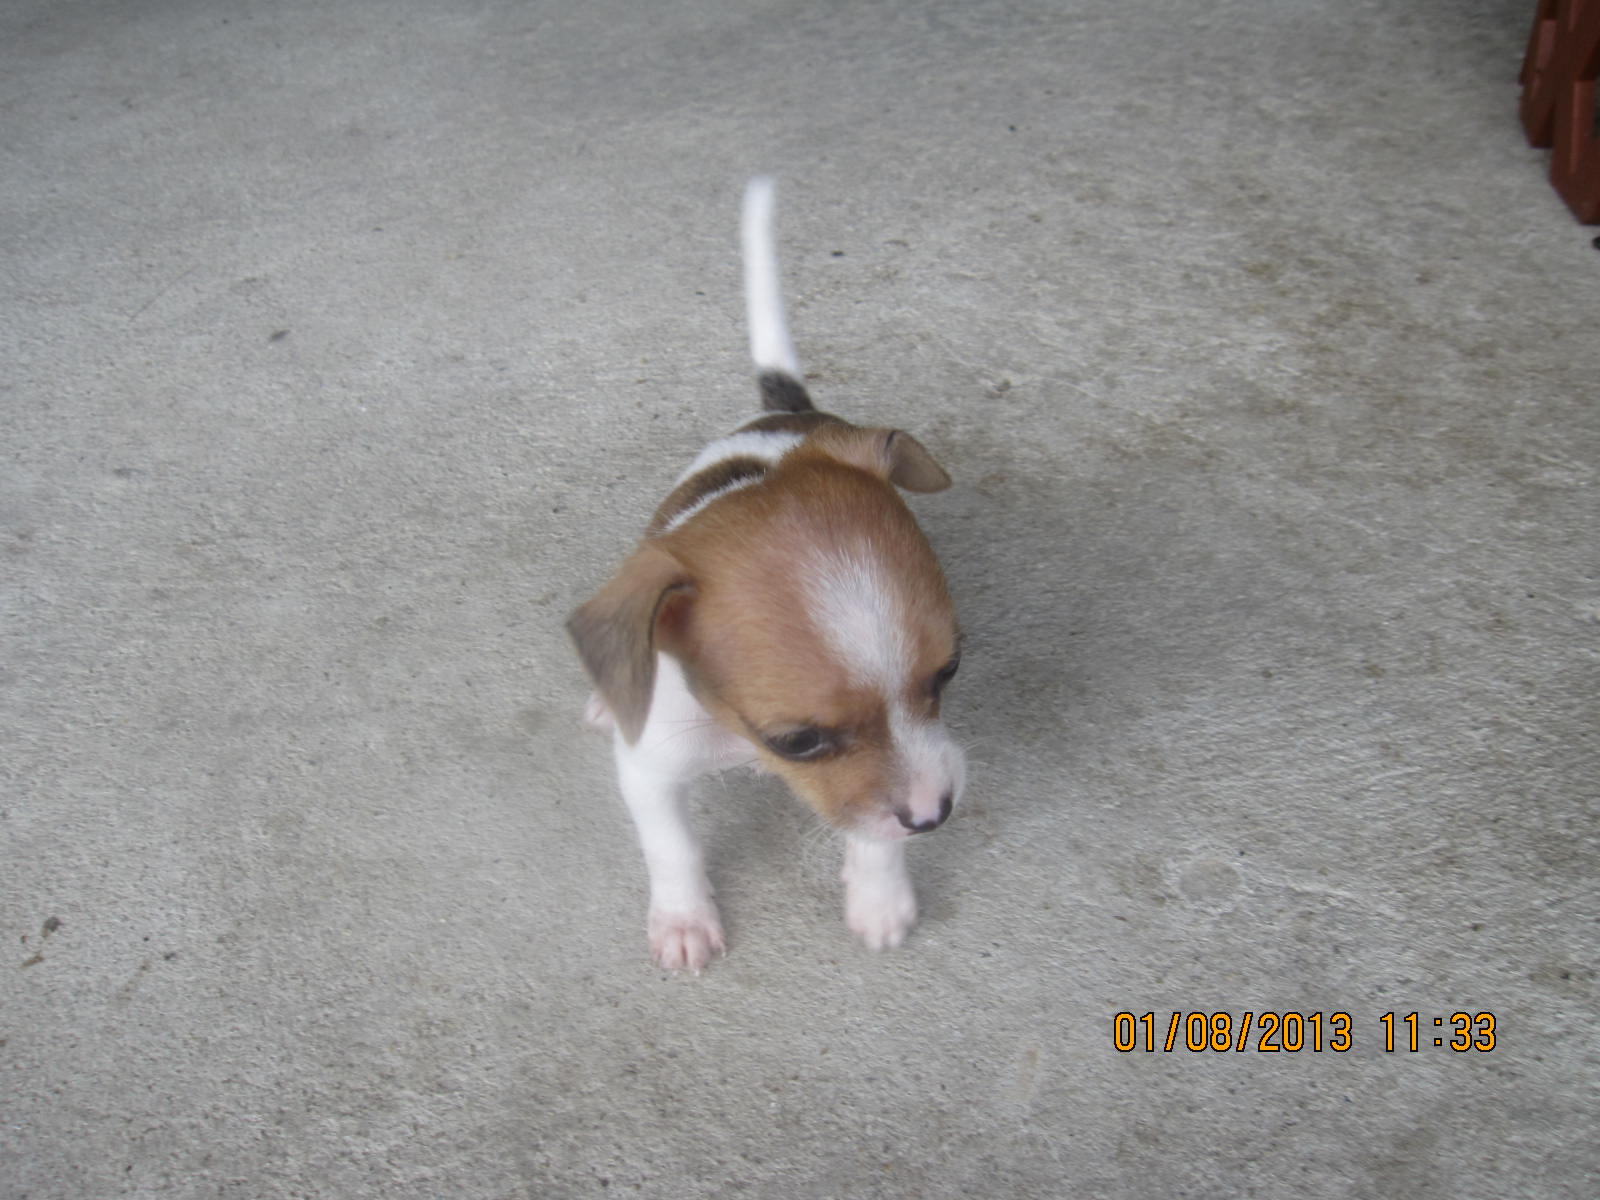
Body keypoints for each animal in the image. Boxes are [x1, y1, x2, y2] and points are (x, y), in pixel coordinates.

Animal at [567, 178, 965, 970]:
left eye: (950, 672)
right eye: (798, 741)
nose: (936, 815)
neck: (734, 738)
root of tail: (791, 416)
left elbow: (873, 832)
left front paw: (880, 895)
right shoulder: (650, 770)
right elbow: (674, 850)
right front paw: (684, 919)